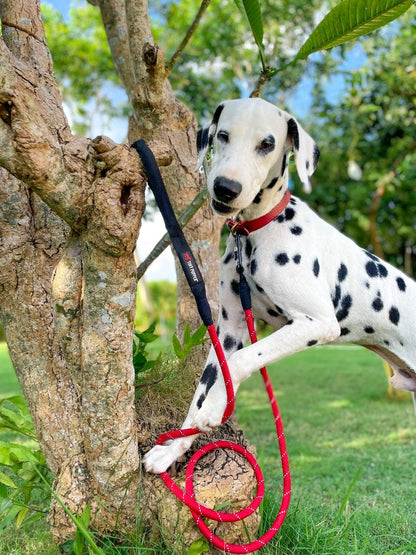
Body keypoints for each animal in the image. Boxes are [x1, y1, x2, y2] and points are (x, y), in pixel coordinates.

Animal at [144, 97, 416, 476]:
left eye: (267, 145)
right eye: (222, 135)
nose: (226, 187)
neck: (256, 231)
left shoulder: (315, 324)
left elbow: (241, 362)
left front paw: (213, 411)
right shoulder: (227, 331)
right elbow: (202, 391)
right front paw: (172, 449)